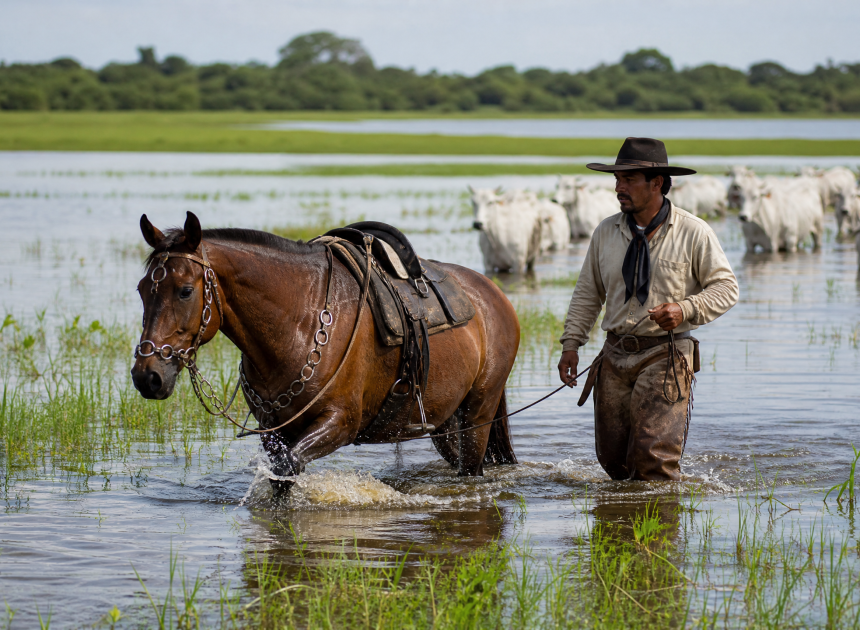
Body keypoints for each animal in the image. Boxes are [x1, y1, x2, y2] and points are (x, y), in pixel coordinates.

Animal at [131, 212, 520, 495]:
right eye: (141, 289)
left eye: (185, 290)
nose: (147, 375)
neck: (297, 324)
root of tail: (493, 296)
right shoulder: (273, 431)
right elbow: (280, 478)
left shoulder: (340, 423)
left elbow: (287, 469)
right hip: (446, 422)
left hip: (477, 412)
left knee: (471, 469)